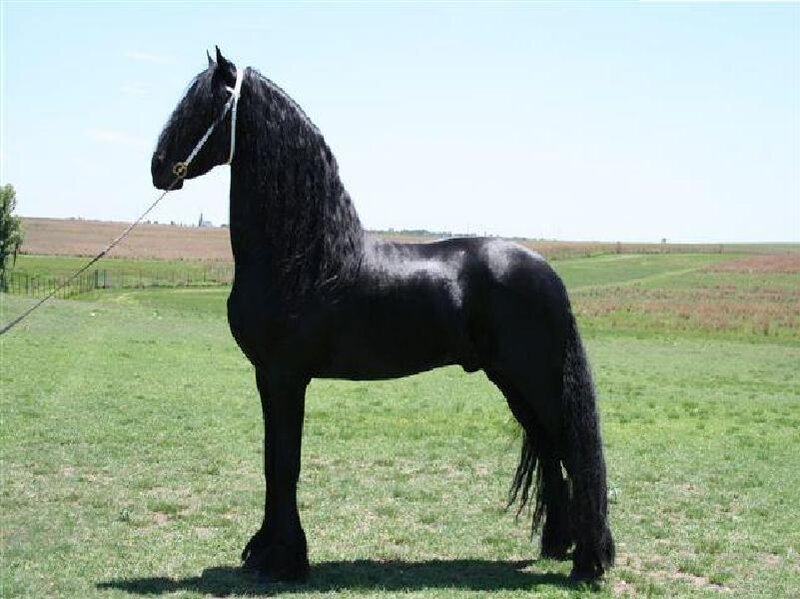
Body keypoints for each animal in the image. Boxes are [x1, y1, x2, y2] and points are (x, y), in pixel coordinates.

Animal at [151, 48, 614, 583]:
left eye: (207, 107)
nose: (158, 168)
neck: (304, 256)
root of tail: (548, 273)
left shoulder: (286, 377)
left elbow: (285, 463)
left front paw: (284, 560)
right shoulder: (268, 378)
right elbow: (273, 461)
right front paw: (266, 552)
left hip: (536, 381)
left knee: (575, 453)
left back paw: (590, 561)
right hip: (513, 383)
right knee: (550, 450)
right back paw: (560, 545)